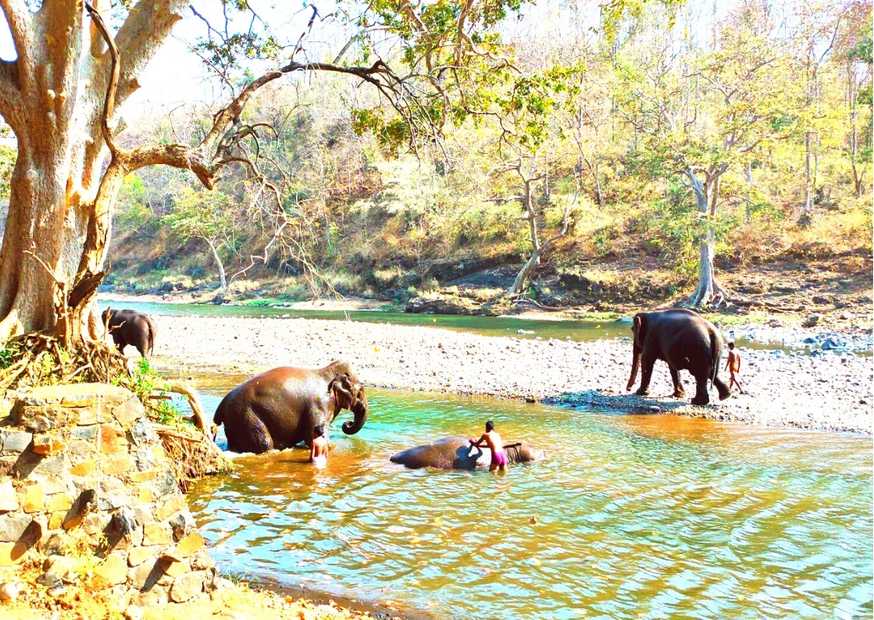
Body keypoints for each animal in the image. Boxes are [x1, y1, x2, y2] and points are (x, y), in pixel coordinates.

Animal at [216, 358, 370, 456]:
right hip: (246, 417)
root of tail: (221, 407)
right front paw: (332, 446)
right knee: (264, 443)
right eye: (360, 390)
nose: (347, 424)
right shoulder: (320, 405)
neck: (327, 371)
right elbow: (311, 434)